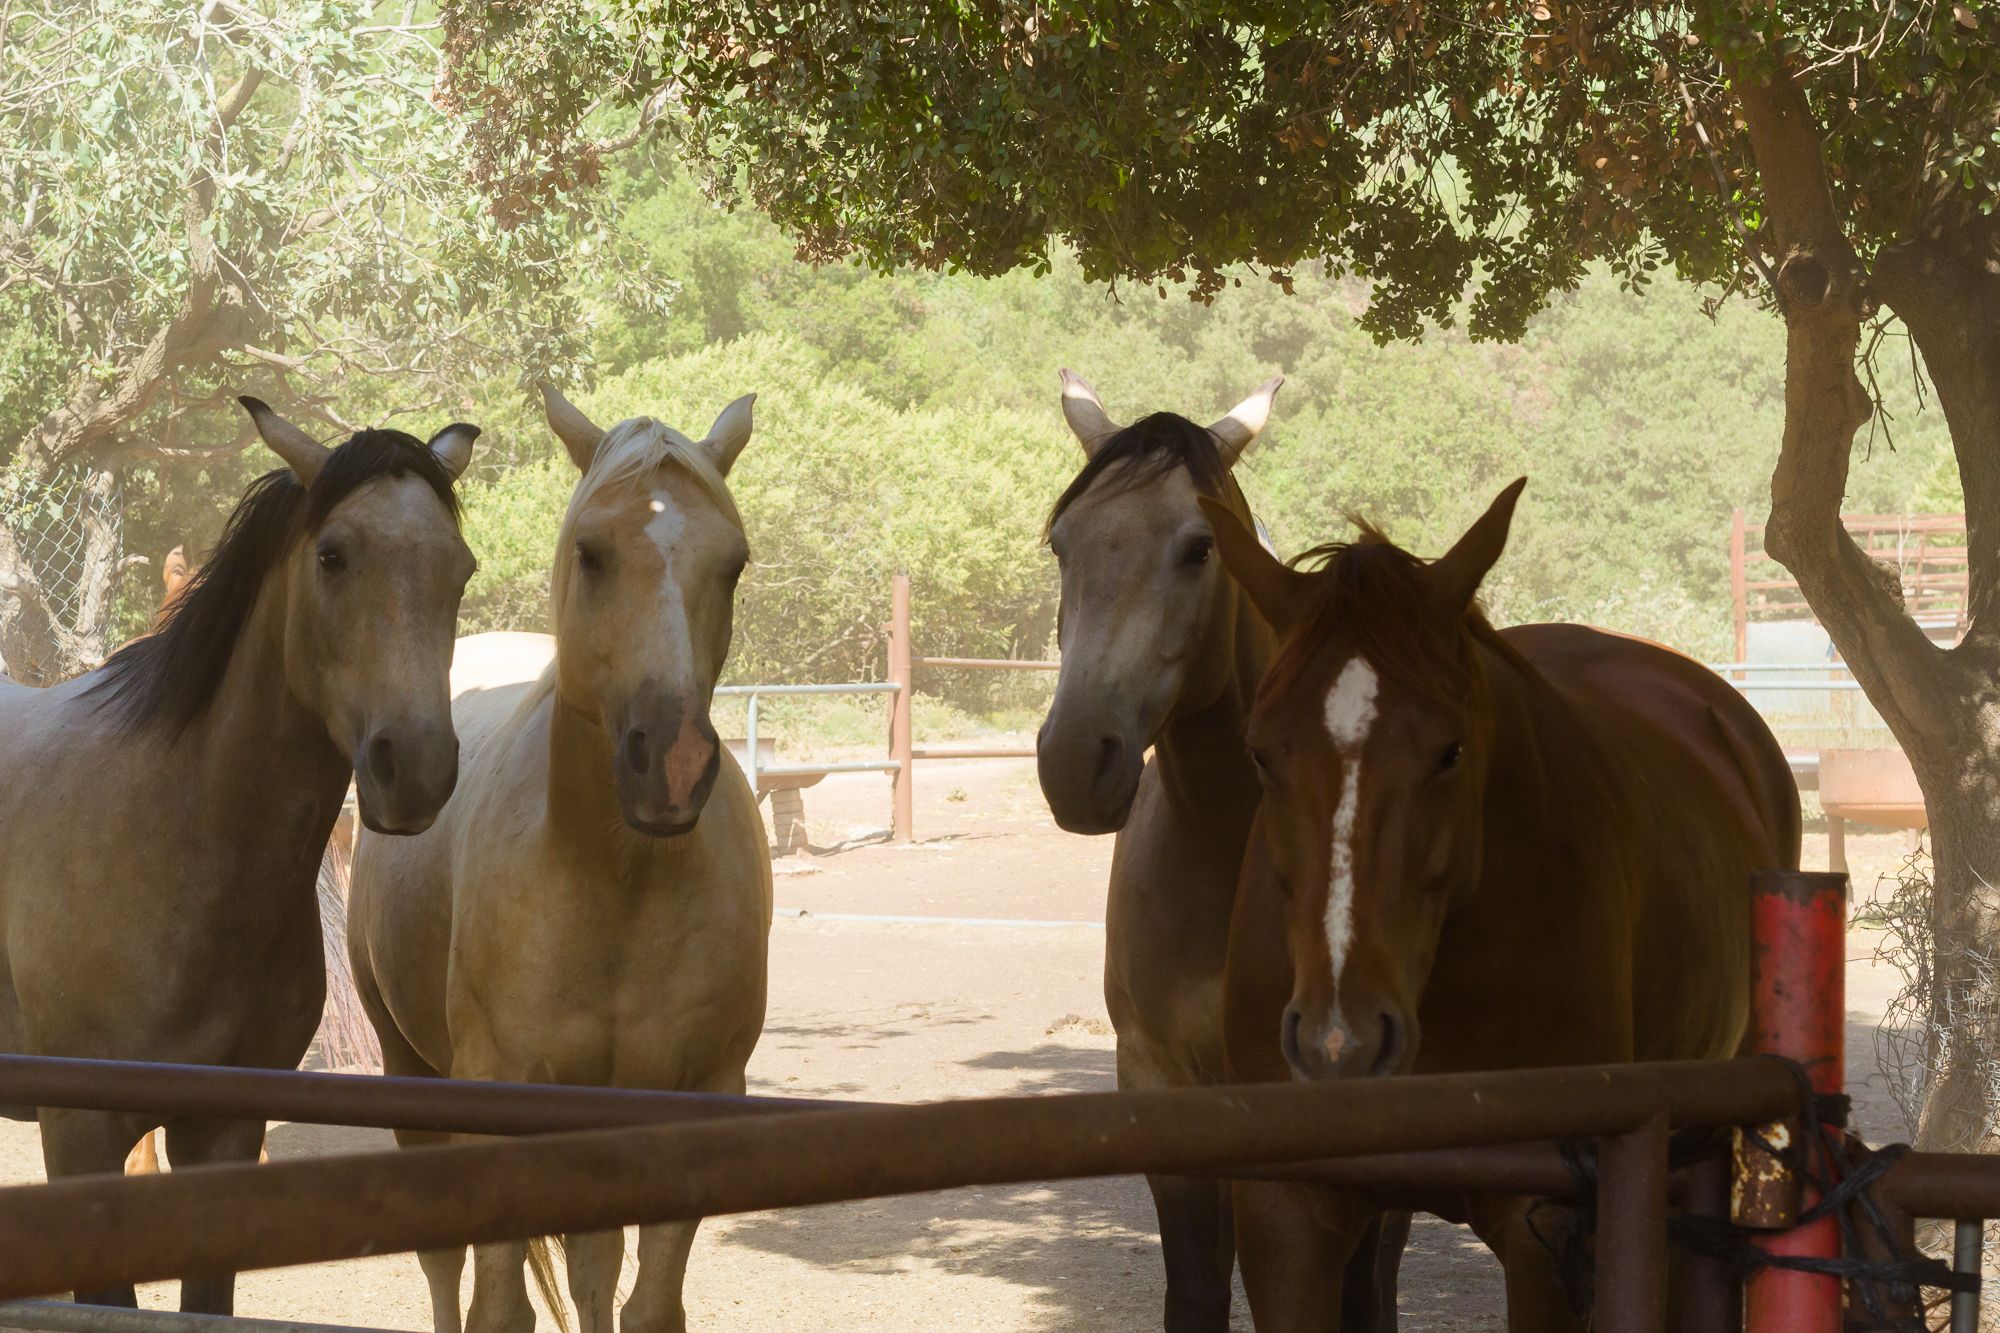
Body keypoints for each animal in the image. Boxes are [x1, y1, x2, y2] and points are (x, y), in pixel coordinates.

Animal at [349, 384, 773, 1333]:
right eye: (592, 552)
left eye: (734, 564)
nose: (673, 763)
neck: (613, 883)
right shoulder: (497, 1094)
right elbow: (499, 1306)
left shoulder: (692, 1099)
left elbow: (645, 1301)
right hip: (406, 1066)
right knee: (443, 1261)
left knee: (589, 1266)